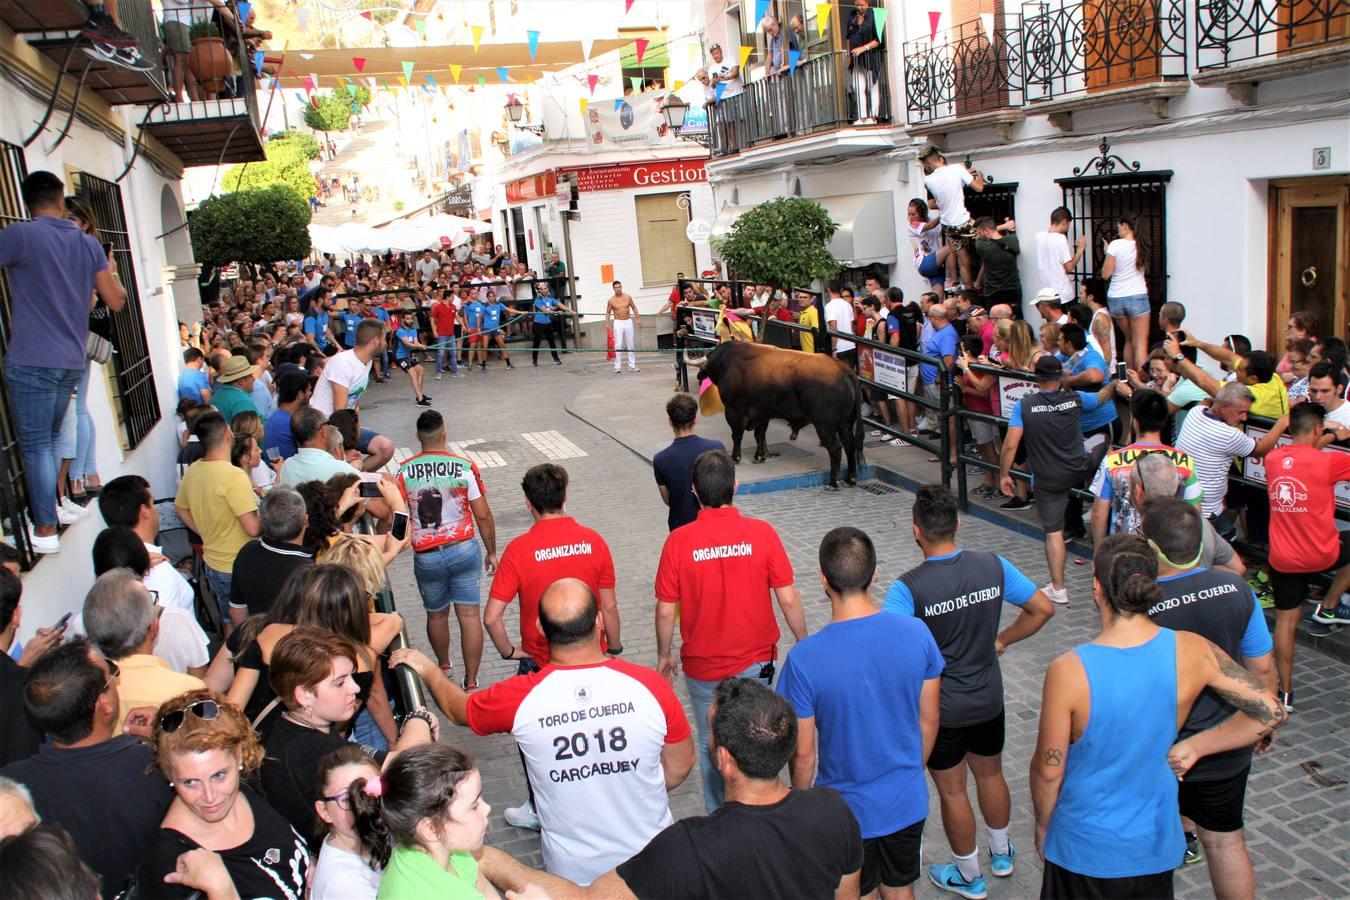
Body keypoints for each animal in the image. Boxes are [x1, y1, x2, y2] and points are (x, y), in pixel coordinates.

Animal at [696, 342, 864, 493]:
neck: (728, 362)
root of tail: (841, 368)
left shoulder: (733, 411)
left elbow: (737, 435)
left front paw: (735, 457)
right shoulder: (762, 413)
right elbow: (759, 434)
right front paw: (759, 456)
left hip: (825, 426)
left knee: (836, 449)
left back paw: (833, 483)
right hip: (845, 424)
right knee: (849, 444)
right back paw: (850, 479)